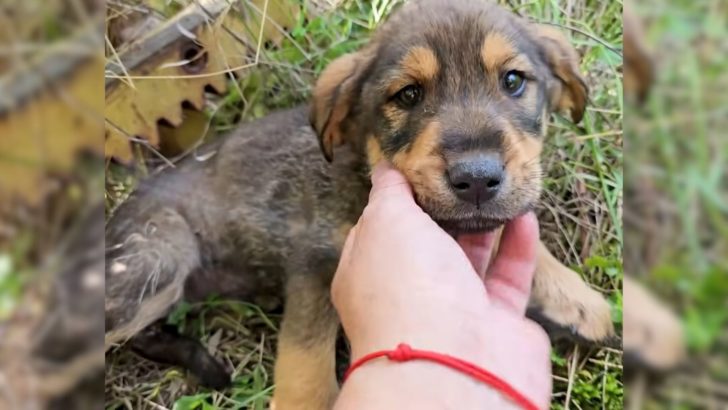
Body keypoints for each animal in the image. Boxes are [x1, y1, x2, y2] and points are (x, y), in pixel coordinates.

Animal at [102, 1, 616, 408]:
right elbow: (307, 358)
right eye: (408, 94)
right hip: (161, 255)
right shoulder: (313, 262)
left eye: (513, 80)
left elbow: (512, 224)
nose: (476, 180)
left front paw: (577, 298)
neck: (363, 175)